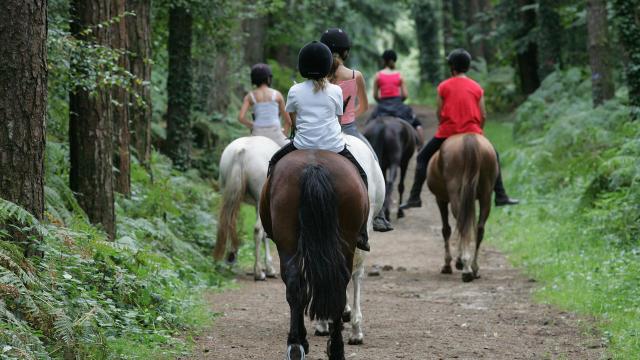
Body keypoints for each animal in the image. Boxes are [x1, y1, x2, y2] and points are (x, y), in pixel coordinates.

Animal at [214, 135, 282, 282]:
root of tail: (241, 151)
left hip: (227, 193)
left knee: (228, 222)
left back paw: (230, 257)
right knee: (257, 230)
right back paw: (258, 273)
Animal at [260, 150, 368, 360]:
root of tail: (313, 167)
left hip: (289, 240)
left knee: (296, 286)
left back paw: (297, 345)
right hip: (345, 240)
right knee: (334, 286)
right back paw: (332, 348)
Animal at [428, 134, 498, 282]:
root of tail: (469, 139)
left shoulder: (440, 199)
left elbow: (446, 229)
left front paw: (450, 264)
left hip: (455, 192)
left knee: (462, 225)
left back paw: (466, 268)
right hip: (486, 195)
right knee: (479, 228)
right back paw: (474, 267)